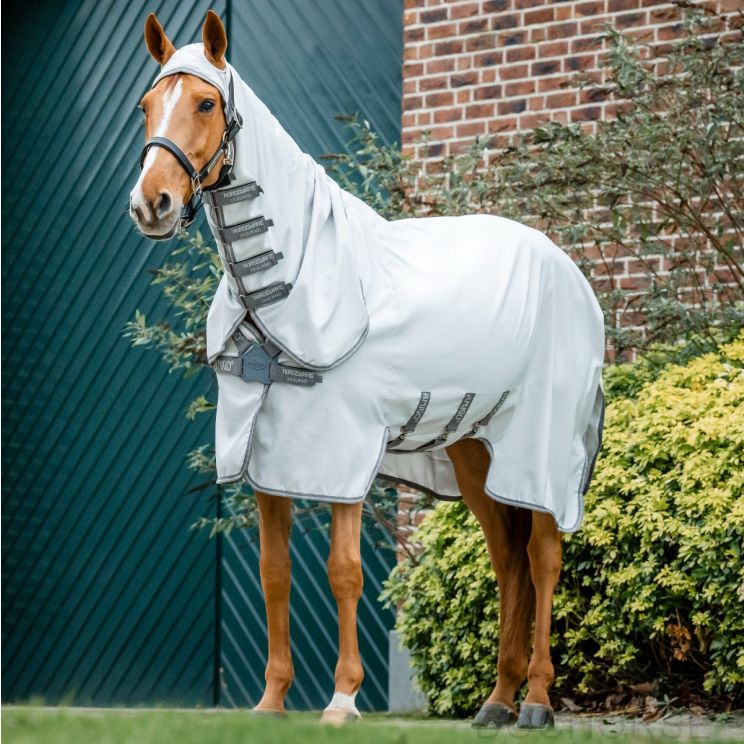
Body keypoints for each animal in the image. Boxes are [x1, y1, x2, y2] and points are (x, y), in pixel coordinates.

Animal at [129, 10, 605, 729]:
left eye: (207, 104)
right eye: (147, 106)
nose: (150, 203)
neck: (289, 283)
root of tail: (567, 269)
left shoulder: (342, 453)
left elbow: (344, 571)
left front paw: (342, 700)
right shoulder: (269, 459)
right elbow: (274, 572)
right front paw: (270, 702)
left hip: (542, 448)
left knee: (544, 555)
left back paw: (537, 702)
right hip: (475, 451)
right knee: (507, 560)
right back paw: (495, 702)